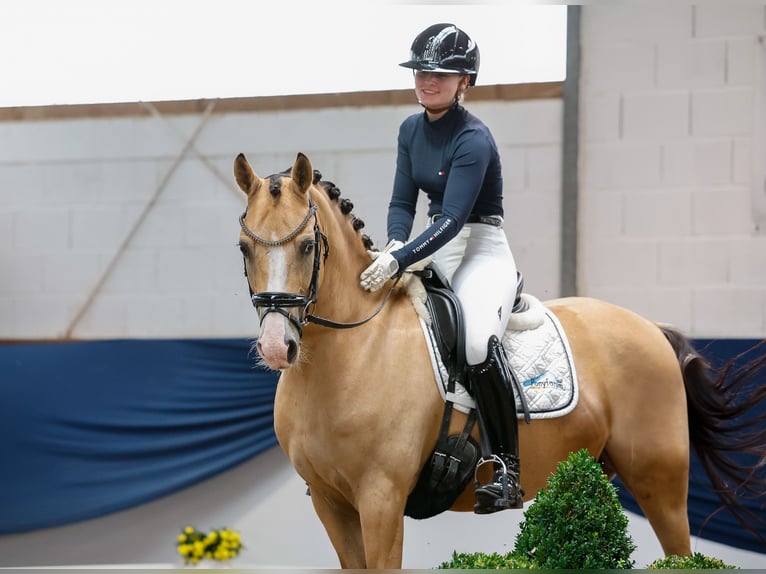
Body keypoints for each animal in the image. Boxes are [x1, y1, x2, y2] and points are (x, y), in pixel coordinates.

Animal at [234, 151, 766, 568]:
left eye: (307, 246)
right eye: (243, 248)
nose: (277, 347)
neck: (350, 356)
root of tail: (652, 328)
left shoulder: (380, 498)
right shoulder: (331, 504)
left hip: (661, 482)